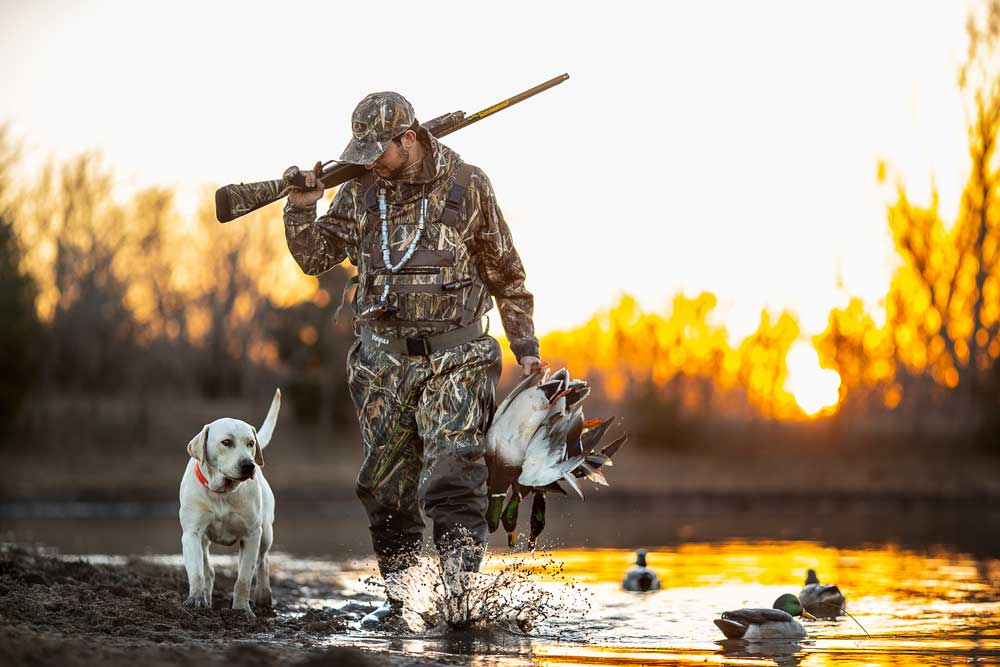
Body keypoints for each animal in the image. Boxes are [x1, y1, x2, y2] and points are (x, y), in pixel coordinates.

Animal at [179, 388, 280, 620]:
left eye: (250, 443)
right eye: (226, 442)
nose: (249, 465)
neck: (222, 493)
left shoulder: (251, 535)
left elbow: (243, 578)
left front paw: (242, 609)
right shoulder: (192, 533)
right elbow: (196, 572)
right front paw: (196, 599)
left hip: (266, 532)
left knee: (263, 560)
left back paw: (263, 595)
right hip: (204, 540)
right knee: (208, 569)